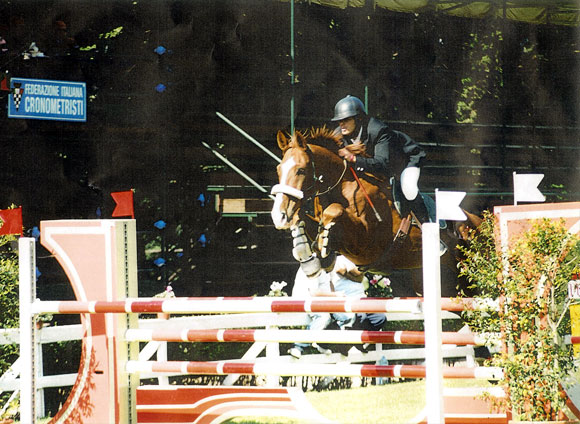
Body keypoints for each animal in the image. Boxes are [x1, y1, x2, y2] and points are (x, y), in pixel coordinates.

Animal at [272, 127, 480, 296]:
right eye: (278, 169)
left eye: (301, 170)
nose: (278, 216)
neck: (342, 186)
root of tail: (478, 220)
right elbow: (308, 222)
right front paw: (309, 253)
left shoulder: (366, 243)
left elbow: (334, 211)